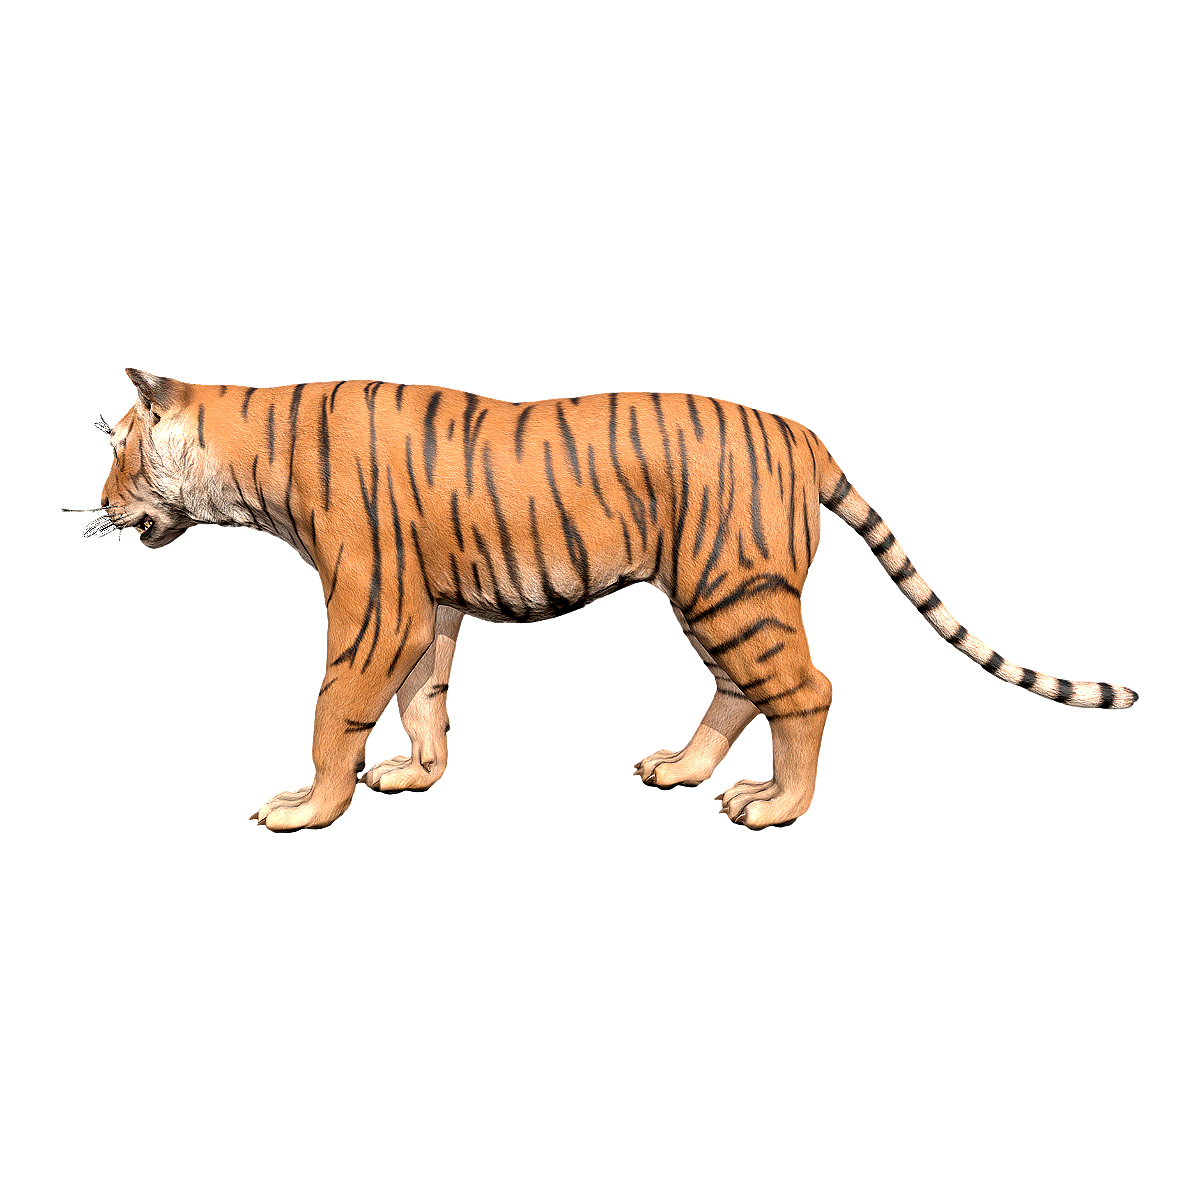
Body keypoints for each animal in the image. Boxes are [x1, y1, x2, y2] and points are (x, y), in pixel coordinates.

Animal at [96, 368, 1136, 831]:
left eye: (120, 452)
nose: (94, 506)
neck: (246, 457)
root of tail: (794, 429)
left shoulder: (377, 601)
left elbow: (341, 705)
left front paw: (308, 805)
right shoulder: (426, 604)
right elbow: (420, 698)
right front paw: (415, 775)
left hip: (731, 586)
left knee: (800, 688)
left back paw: (779, 802)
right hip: (715, 584)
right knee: (743, 687)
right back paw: (684, 772)